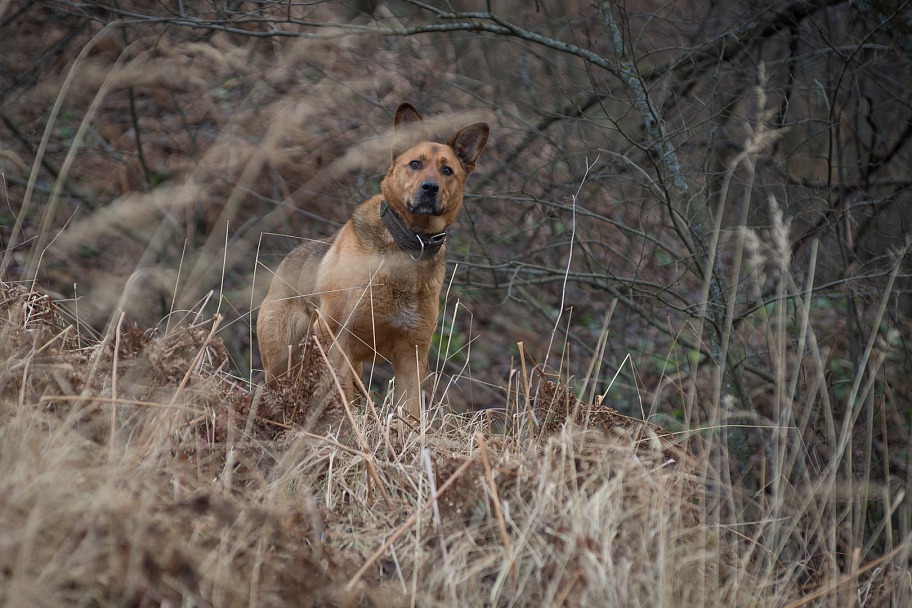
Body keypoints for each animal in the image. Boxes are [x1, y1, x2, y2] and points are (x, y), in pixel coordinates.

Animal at [253, 102, 488, 420]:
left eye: (447, 170)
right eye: (415, 164)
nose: (430, 187)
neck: (408, 244)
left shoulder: (411, 354)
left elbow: (411, 411)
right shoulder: (336, 337)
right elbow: (342, 399)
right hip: (283, 361)